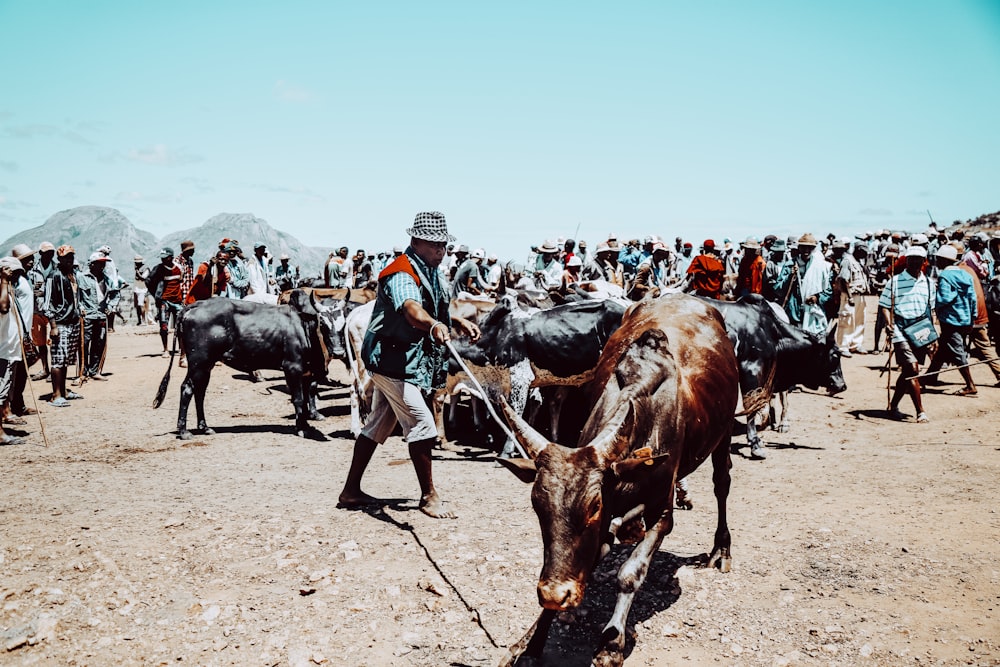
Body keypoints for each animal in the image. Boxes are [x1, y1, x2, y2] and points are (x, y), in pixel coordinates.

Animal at [154, 290, 346, 438]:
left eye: (343, 325)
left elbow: (307, 398)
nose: (338, 352)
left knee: (199, 392)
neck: (304, 327)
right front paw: (301, 429)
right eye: (323, 323)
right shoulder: (292, 368)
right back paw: (184, 431)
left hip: (206, 366)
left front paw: (306, 425)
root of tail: (193, 306)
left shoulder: (307, 372)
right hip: (198, 363)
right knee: (187, 389)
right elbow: (298, 399)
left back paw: (205, 427)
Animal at [496, 294, 740, 664]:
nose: (554, 593)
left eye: (593, 506)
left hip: (723, 433)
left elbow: (630, 574)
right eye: (538, 507)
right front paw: (529, 643)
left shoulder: (661, 513)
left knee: (721, 482)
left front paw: (612, 643)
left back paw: (721, 549)